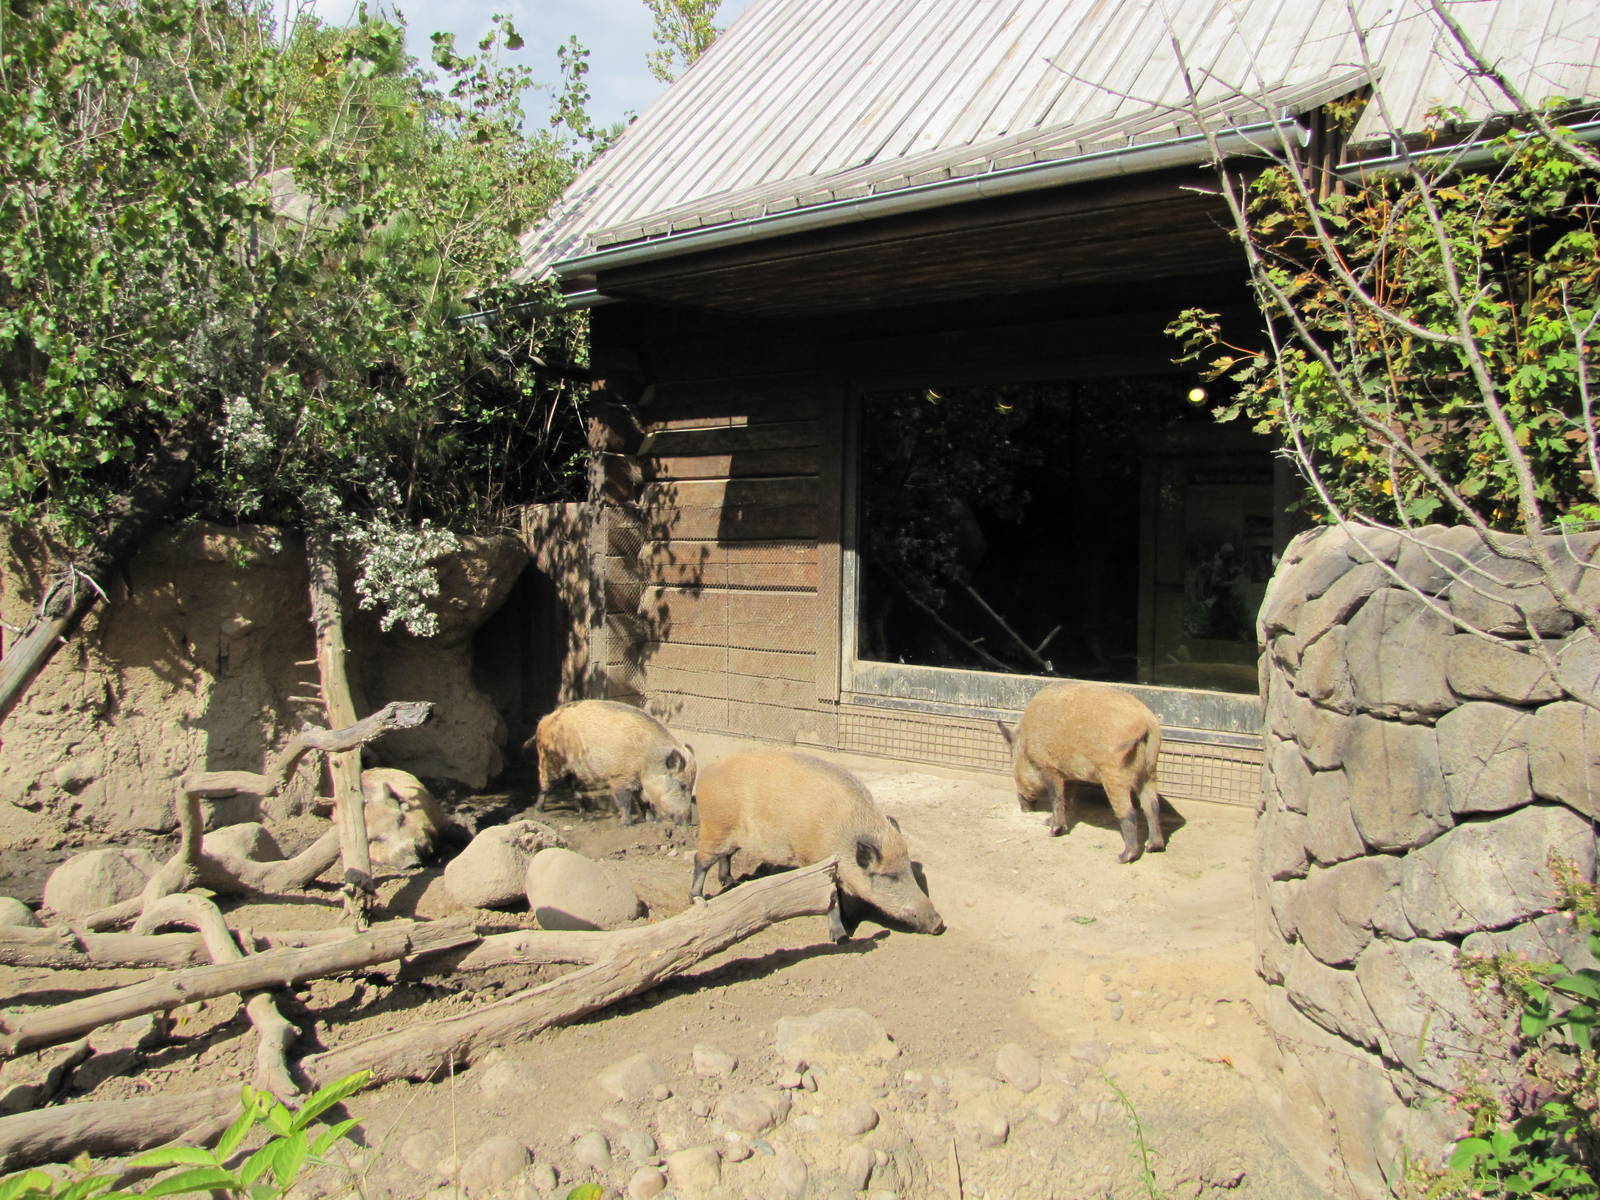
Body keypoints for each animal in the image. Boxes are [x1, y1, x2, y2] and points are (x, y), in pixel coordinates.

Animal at [530, 700, 695, 826]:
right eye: (682, 785)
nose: (689, 822)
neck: (647, 760)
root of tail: (544, 719)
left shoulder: (638, 782)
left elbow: (644, 801)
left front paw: (651, 821)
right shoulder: (620, 776)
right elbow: (625, 801)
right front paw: (628, 824)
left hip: (573, 769)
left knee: (571, 784)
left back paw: (583, 811)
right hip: (549, 760)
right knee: (545, 784)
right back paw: (539, 810)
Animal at [690, 748, 944, 942]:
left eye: (908, 869)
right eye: (890, 876)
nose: (938, 923)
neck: (841, 836)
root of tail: (705, 773)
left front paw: (849, 922)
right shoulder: (817, 862)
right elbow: (831, 899)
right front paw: (841, 938)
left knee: (726, 856)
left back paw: (731, 882)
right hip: (714, 827)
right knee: (700, 860)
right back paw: (697, 899)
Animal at [997, 682, 1164, 863]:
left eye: (1013, 764)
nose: (1024, 808)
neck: (1026, 743)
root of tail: (1147, 723)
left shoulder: (1048, 767)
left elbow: (1056, 796)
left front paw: (1052, 831)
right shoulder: (1069, 774)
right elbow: (1067, 797)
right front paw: (1047, 822)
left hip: (1115, 773)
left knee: (1129, 812)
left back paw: (1122, 857)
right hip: (1149, 772)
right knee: (1152, 806)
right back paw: (1153, 847)